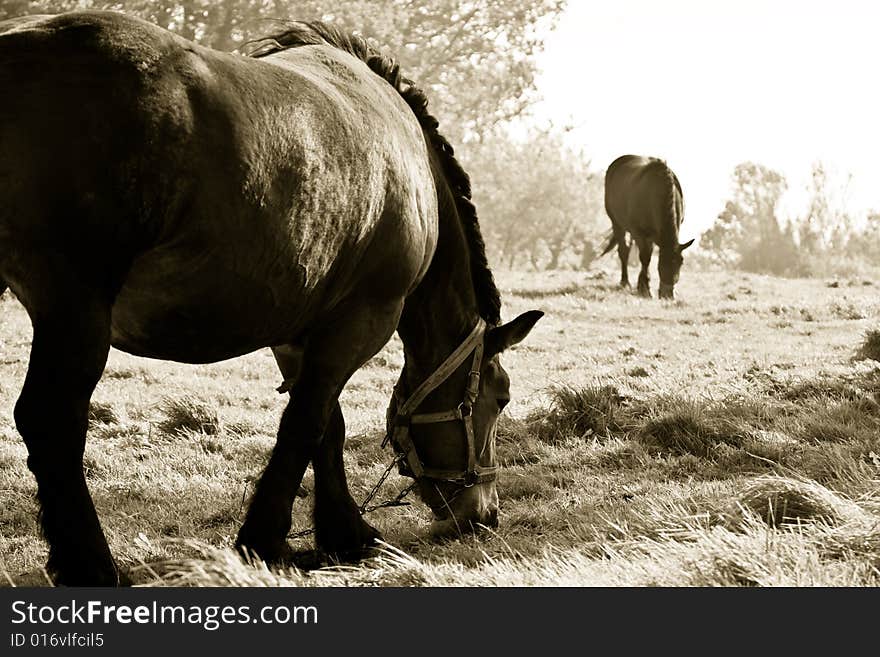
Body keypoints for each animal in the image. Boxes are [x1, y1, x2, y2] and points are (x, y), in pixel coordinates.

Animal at [0, 10, 544, 584]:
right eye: (501, 398)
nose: (483, 513)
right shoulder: (361, 320)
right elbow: (305, 424)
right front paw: (267, 540)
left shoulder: (299, 334)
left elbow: (327, 425)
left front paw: (341, 532)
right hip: (76, 309)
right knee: (49, 420)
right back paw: (92, 565)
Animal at [600, 154, 692, 298]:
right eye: (662, 264)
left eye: (681, 262)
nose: (668, 295)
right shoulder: (639, 233)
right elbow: (645, 258)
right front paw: (645, 289)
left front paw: (642, 285)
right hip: (617, 224)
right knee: (624, 251)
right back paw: (625, 282)